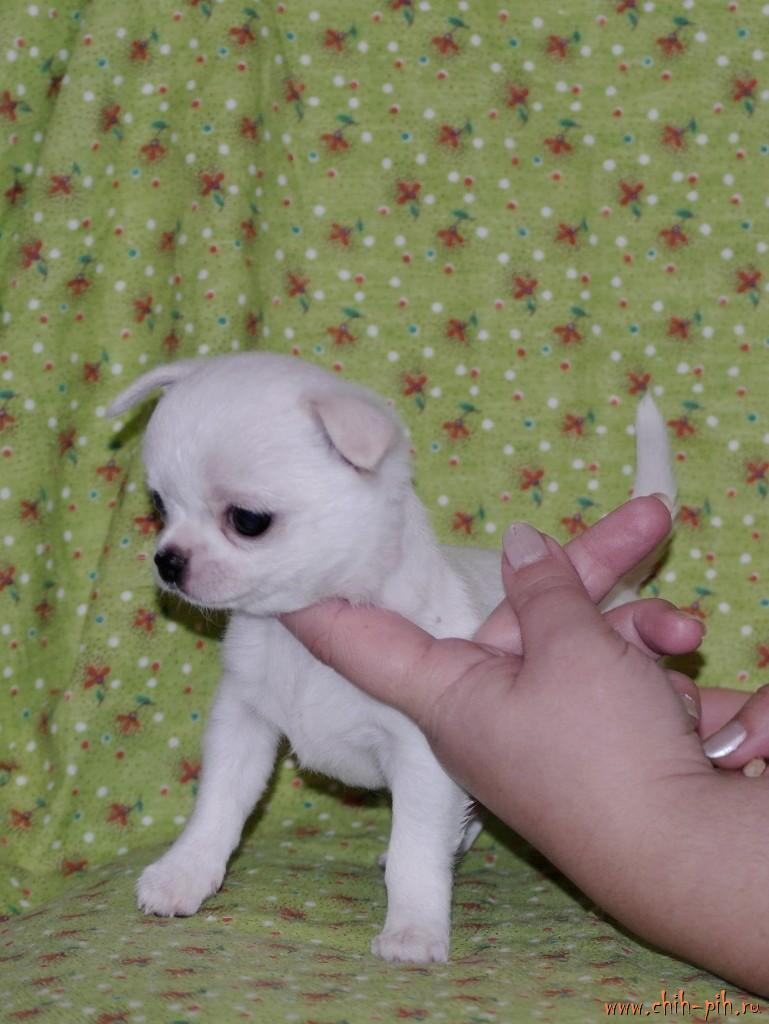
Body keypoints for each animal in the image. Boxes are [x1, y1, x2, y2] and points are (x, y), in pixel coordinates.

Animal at [108, 352, 675, 962]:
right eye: (159, 506)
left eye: (248, 520)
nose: (167, 561)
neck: (298, 642)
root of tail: (610, 598)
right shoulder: (244, 723)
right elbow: (216, 807)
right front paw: (183, 874)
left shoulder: (423, 757)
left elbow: (414, 849)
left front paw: (414, 929)